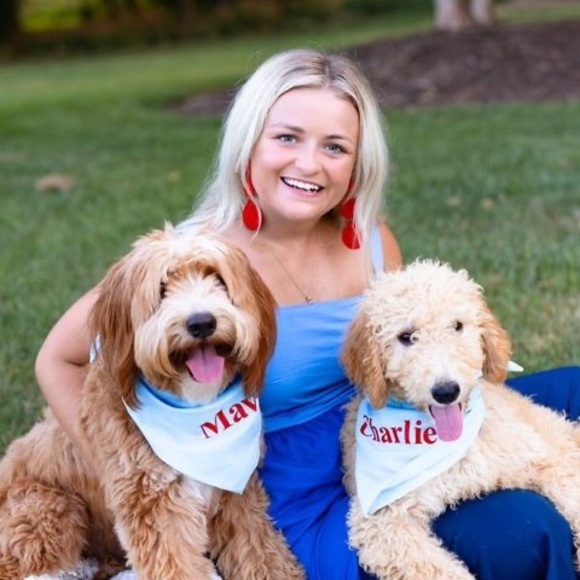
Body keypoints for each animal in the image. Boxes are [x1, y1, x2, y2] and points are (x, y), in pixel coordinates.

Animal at [0, 225, 304, 580]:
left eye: (215, 277)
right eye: (161, 288)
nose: (202, 323)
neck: (194, 414)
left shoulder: (238, 497)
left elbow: (262, 554)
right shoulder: (155, 507)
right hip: (46, 508)